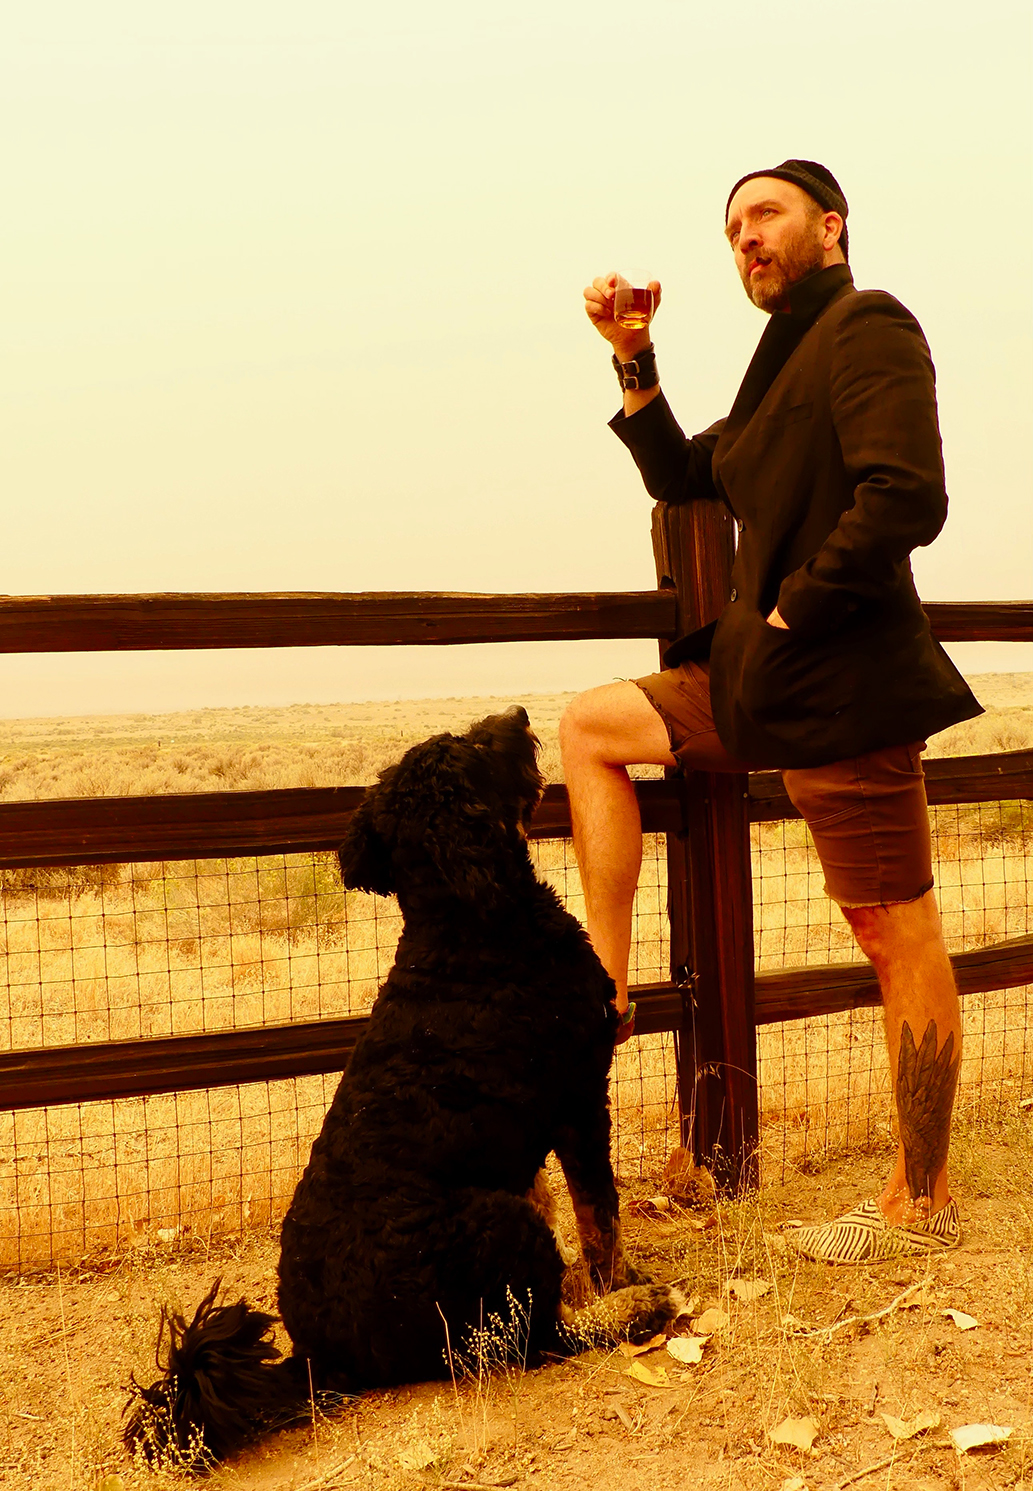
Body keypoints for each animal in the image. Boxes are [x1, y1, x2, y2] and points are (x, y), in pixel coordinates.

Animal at [125, 706, 679, 1467]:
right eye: (470, 747)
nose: (516, 714)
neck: (468, 930)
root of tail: (318, 1356)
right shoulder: (578, 1101)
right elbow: (600, 1215)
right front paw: (617, 1281)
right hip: (494, 1225)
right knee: (529, 1341)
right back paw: (634, 1312)